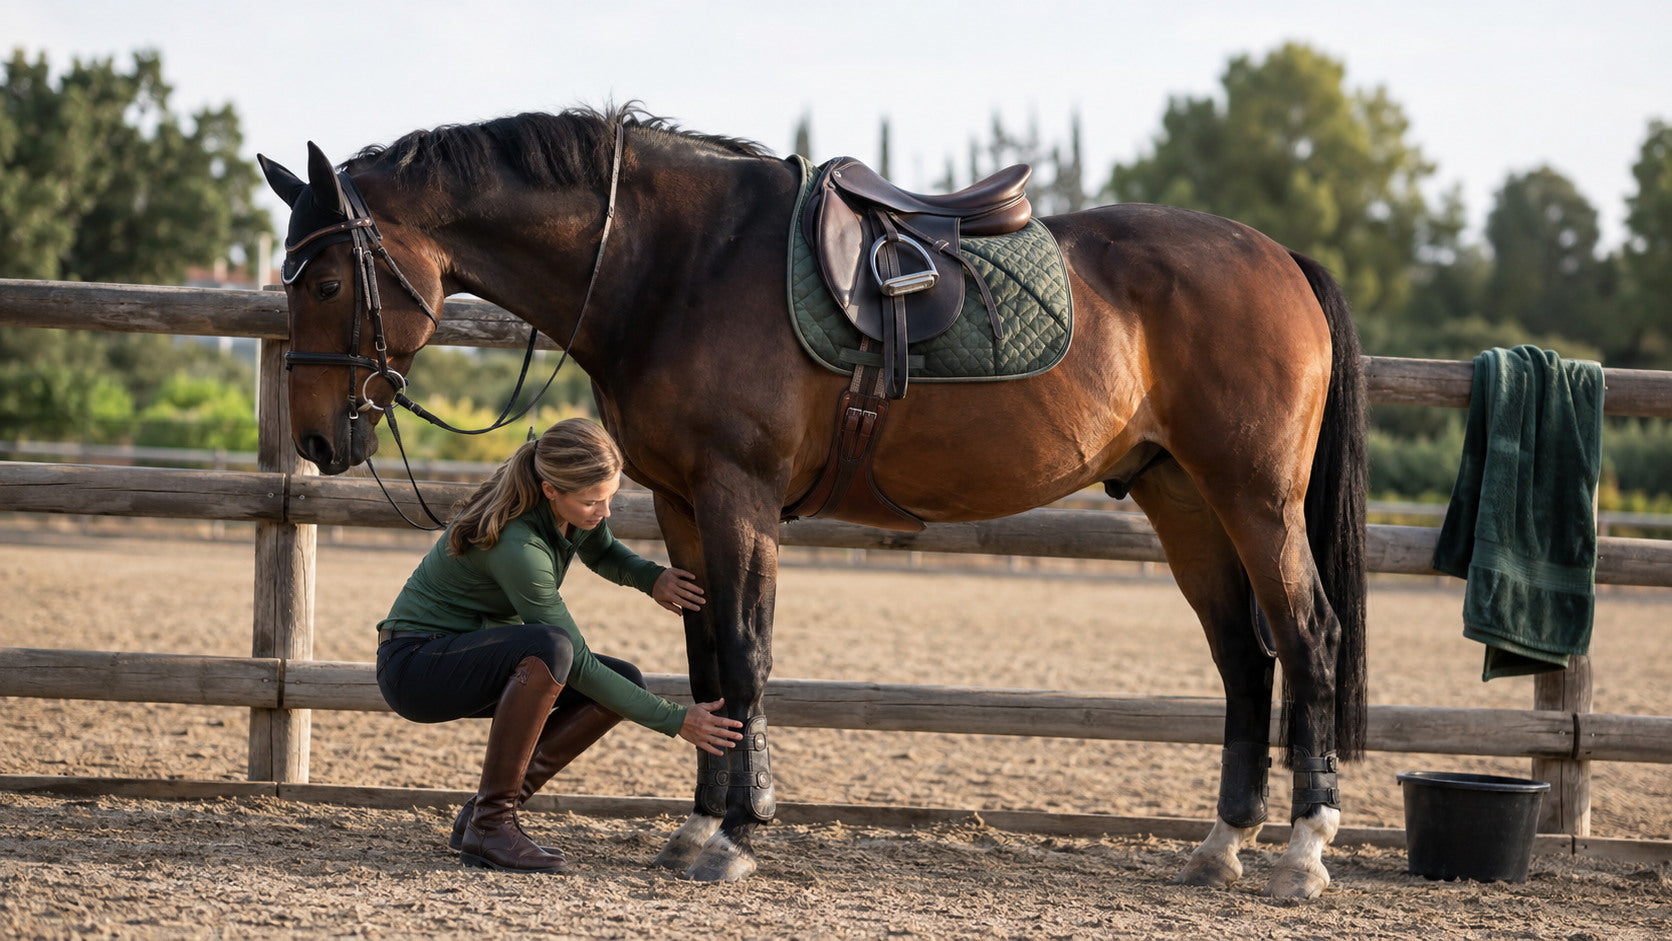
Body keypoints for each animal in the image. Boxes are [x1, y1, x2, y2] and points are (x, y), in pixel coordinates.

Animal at [257, 104, 1367, 899]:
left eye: (323, 282)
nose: (317, 439)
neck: (677, 266)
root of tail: (1280, 258)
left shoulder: (736, 495)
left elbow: (747, 653)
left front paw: (736, 835)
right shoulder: (682, 504)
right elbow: (708, 656)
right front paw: (699, 822)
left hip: (1254, 496)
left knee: (1307, 636)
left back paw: (1302, 850)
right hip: (1183, 497)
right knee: (1244, 656)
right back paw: (1221, 843)